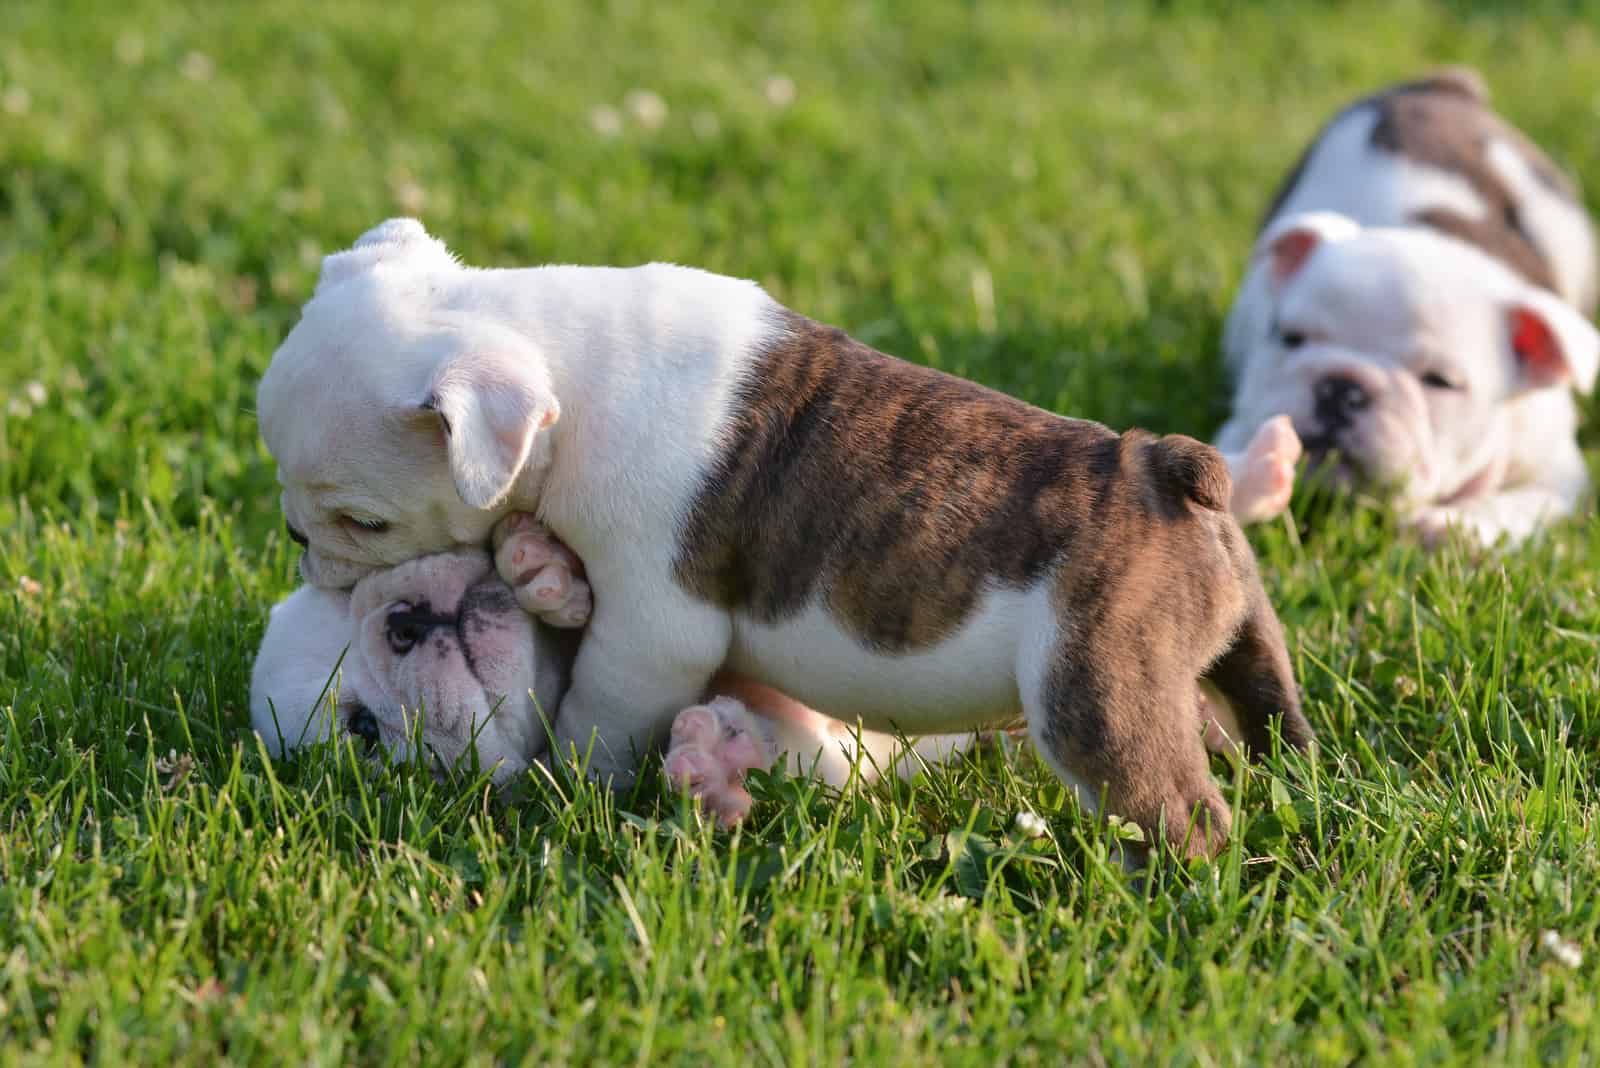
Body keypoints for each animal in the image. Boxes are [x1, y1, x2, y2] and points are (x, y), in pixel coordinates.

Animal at [256, 219, 1312, 856]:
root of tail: (1163, 474)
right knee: (1268, 706)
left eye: (361, 519)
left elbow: (602, 708)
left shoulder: (652, 627)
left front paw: (576, 789)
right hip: (1231, 637)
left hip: (1093, 690)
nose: (302, 545)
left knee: (1170, 804)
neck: (560, 368)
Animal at [1216, 68, 1593, 543]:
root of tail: (1441, 87)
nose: (1342, 386)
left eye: (1441, 381)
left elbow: (1519, 505)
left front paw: (1453, 526)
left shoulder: (1557, 473)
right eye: (1291, 338)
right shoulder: (1243, 419)